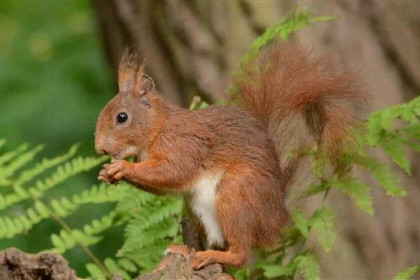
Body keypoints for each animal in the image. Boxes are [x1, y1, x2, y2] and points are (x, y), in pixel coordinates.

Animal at [95, 43, 364, 270]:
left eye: (122, 117)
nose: (100, 149)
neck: (158, 127)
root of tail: (276, 218)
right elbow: (161, 187)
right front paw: (108, 173)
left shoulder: (185, 146)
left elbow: (173, 171)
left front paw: (122, 168)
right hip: (197, 210)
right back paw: (187, 250)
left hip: (235, 196)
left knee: (240, 253)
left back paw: (210, 256)